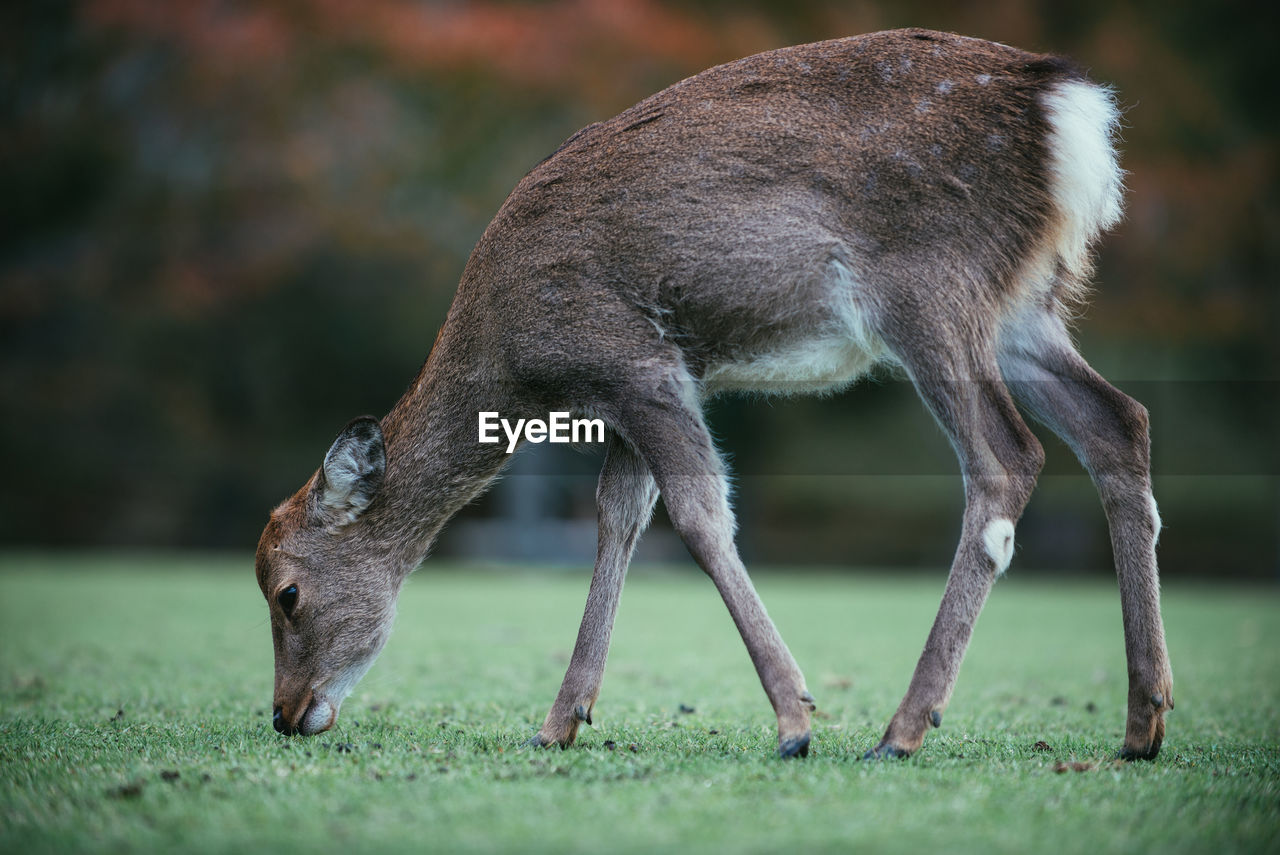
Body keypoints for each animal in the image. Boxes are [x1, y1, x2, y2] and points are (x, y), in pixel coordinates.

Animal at [254, 28, 1172, 762]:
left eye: (287, 592)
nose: (286, 713)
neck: (514, 353)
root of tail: (1073, 111)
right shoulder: (635, 387)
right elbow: (619, 518)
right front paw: (560, 720)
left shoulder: (634, 362)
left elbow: (698, 516)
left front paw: (794, 720)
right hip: (1025, 305)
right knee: (1119, 420)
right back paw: (1143, 722)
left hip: (929, 284)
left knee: (1008, 455)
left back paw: (902, 729)